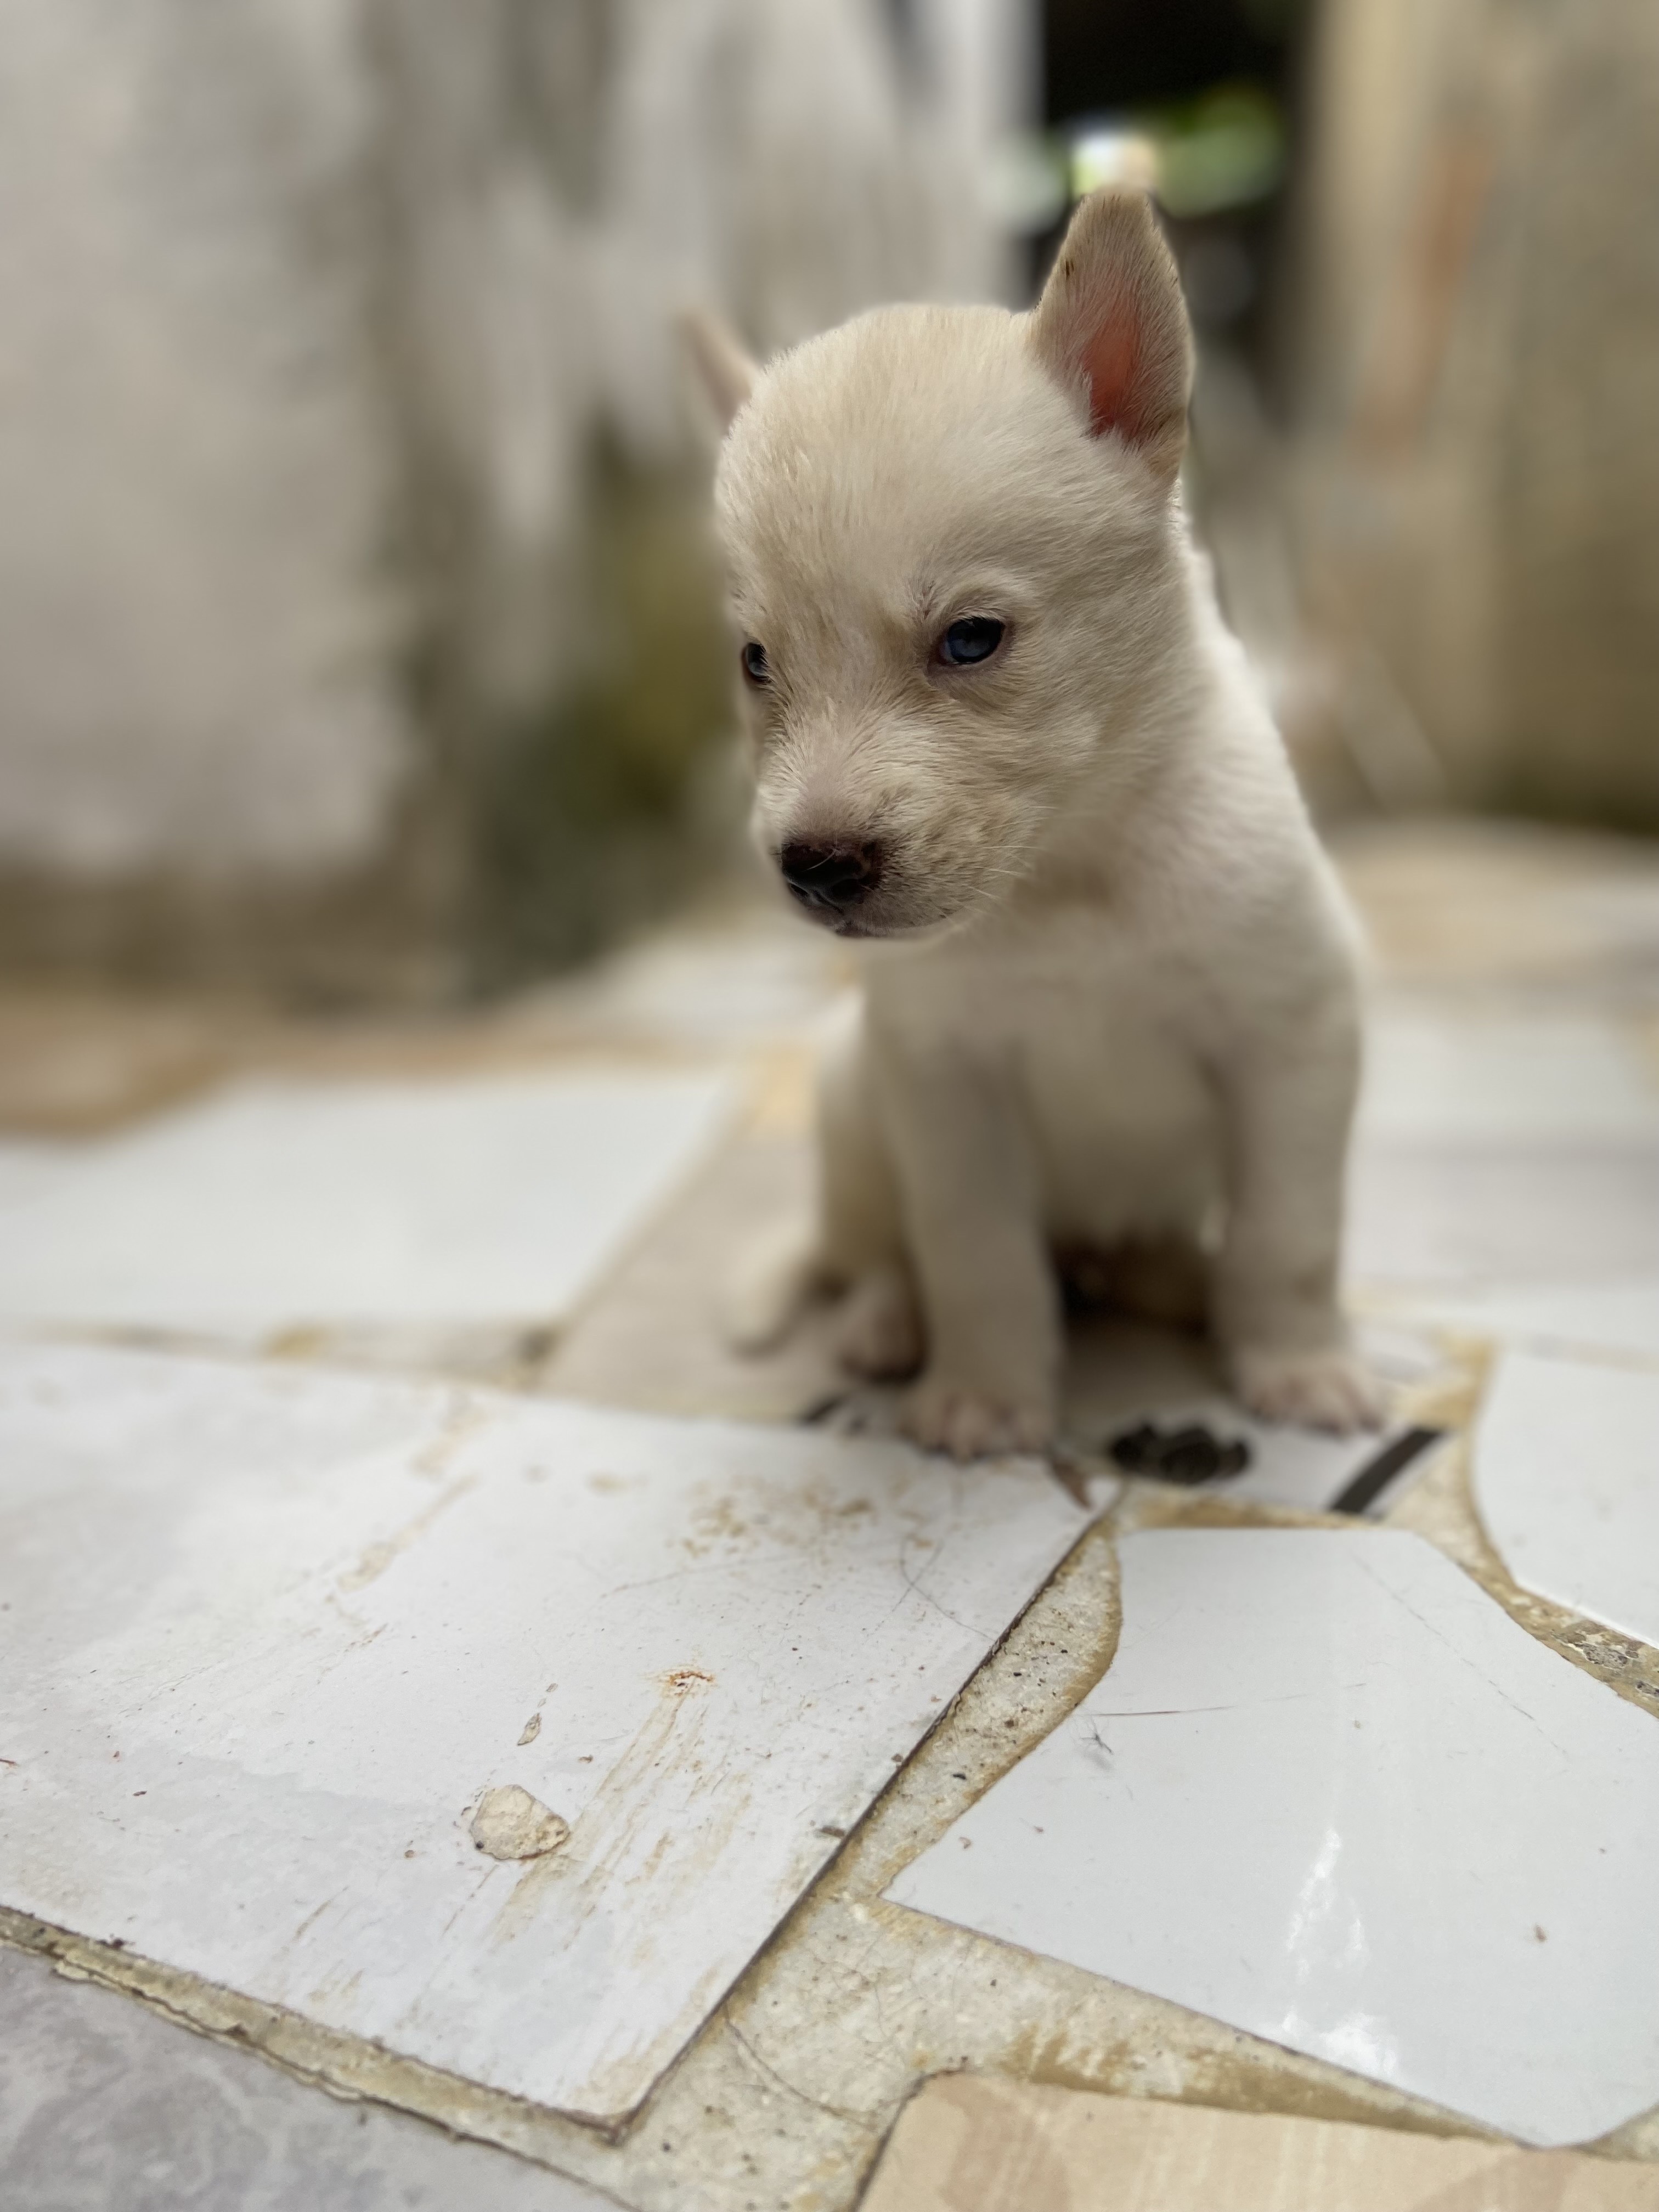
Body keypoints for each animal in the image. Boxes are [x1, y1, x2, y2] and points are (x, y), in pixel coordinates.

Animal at [681, 190, 1380, 1460]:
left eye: (970, 639)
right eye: (757, 662)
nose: (816, 871)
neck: (1070, 874)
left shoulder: (1292, 1038)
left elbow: (1287, 1239)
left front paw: (1297, 1363)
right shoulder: (946, 1087)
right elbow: (977, 1259)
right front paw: (985, 1394)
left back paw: (1179, 1283)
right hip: (852, 1093)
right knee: (875, 1254)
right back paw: (885, 1324)